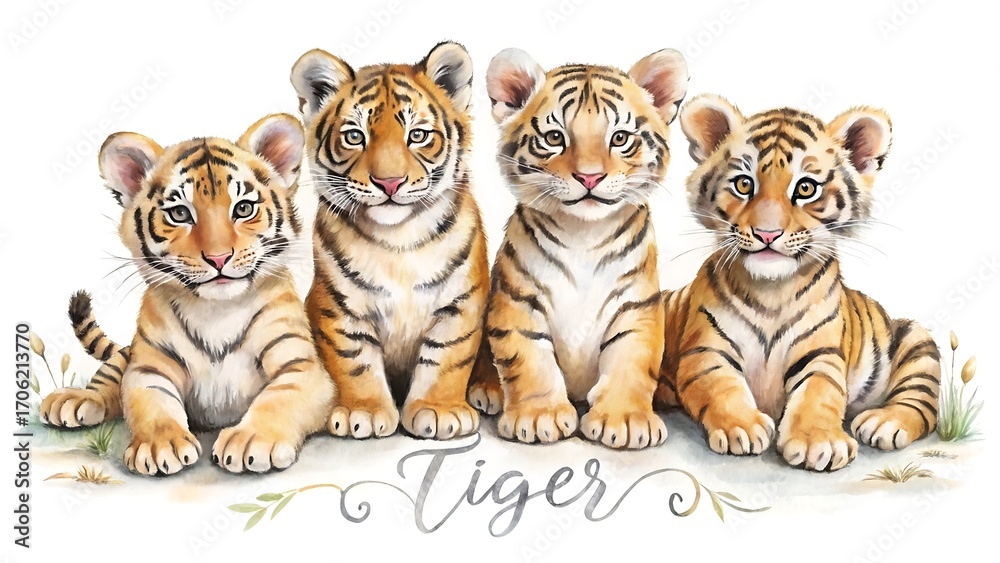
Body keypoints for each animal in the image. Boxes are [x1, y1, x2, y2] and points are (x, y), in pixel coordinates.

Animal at [38, 114, 335, 475]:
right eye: (180, 214)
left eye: (243, 209)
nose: (219, 258)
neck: (217, 311)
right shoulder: (148, 366)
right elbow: (151, 403)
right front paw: (159, 446)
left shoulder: (301, 364)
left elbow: (279, 397)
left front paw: (251, 440)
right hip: (128, 355)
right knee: (107, 378)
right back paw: (74, 400)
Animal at [290, 41, 493, 440]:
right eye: (355, 136)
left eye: (418, 135)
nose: (389, 182)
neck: (398, 241)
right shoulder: (338, 307)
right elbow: (354, 361)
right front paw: (363, 413)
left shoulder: (461, 303)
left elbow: (447, 357)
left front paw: (439, 410)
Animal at [476, 47, 689, 448]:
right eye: (554, 137)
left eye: (619, 138)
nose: (590, 177)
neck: (583, 236)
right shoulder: (518, 302)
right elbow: (530, 360)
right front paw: (538, 416)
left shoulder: (635, 306)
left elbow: (631, 360)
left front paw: (625, 420)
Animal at [657, 94, 942, 471]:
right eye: (744, 184)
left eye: (805, 188)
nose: (767, 233)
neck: (771, 290)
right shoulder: (705, 351)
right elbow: (719, 386)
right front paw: (743, 426)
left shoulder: (821, 354)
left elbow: (819, 392)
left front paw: (818, 442)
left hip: (914, 339)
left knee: (922, 403)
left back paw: (883, 423)